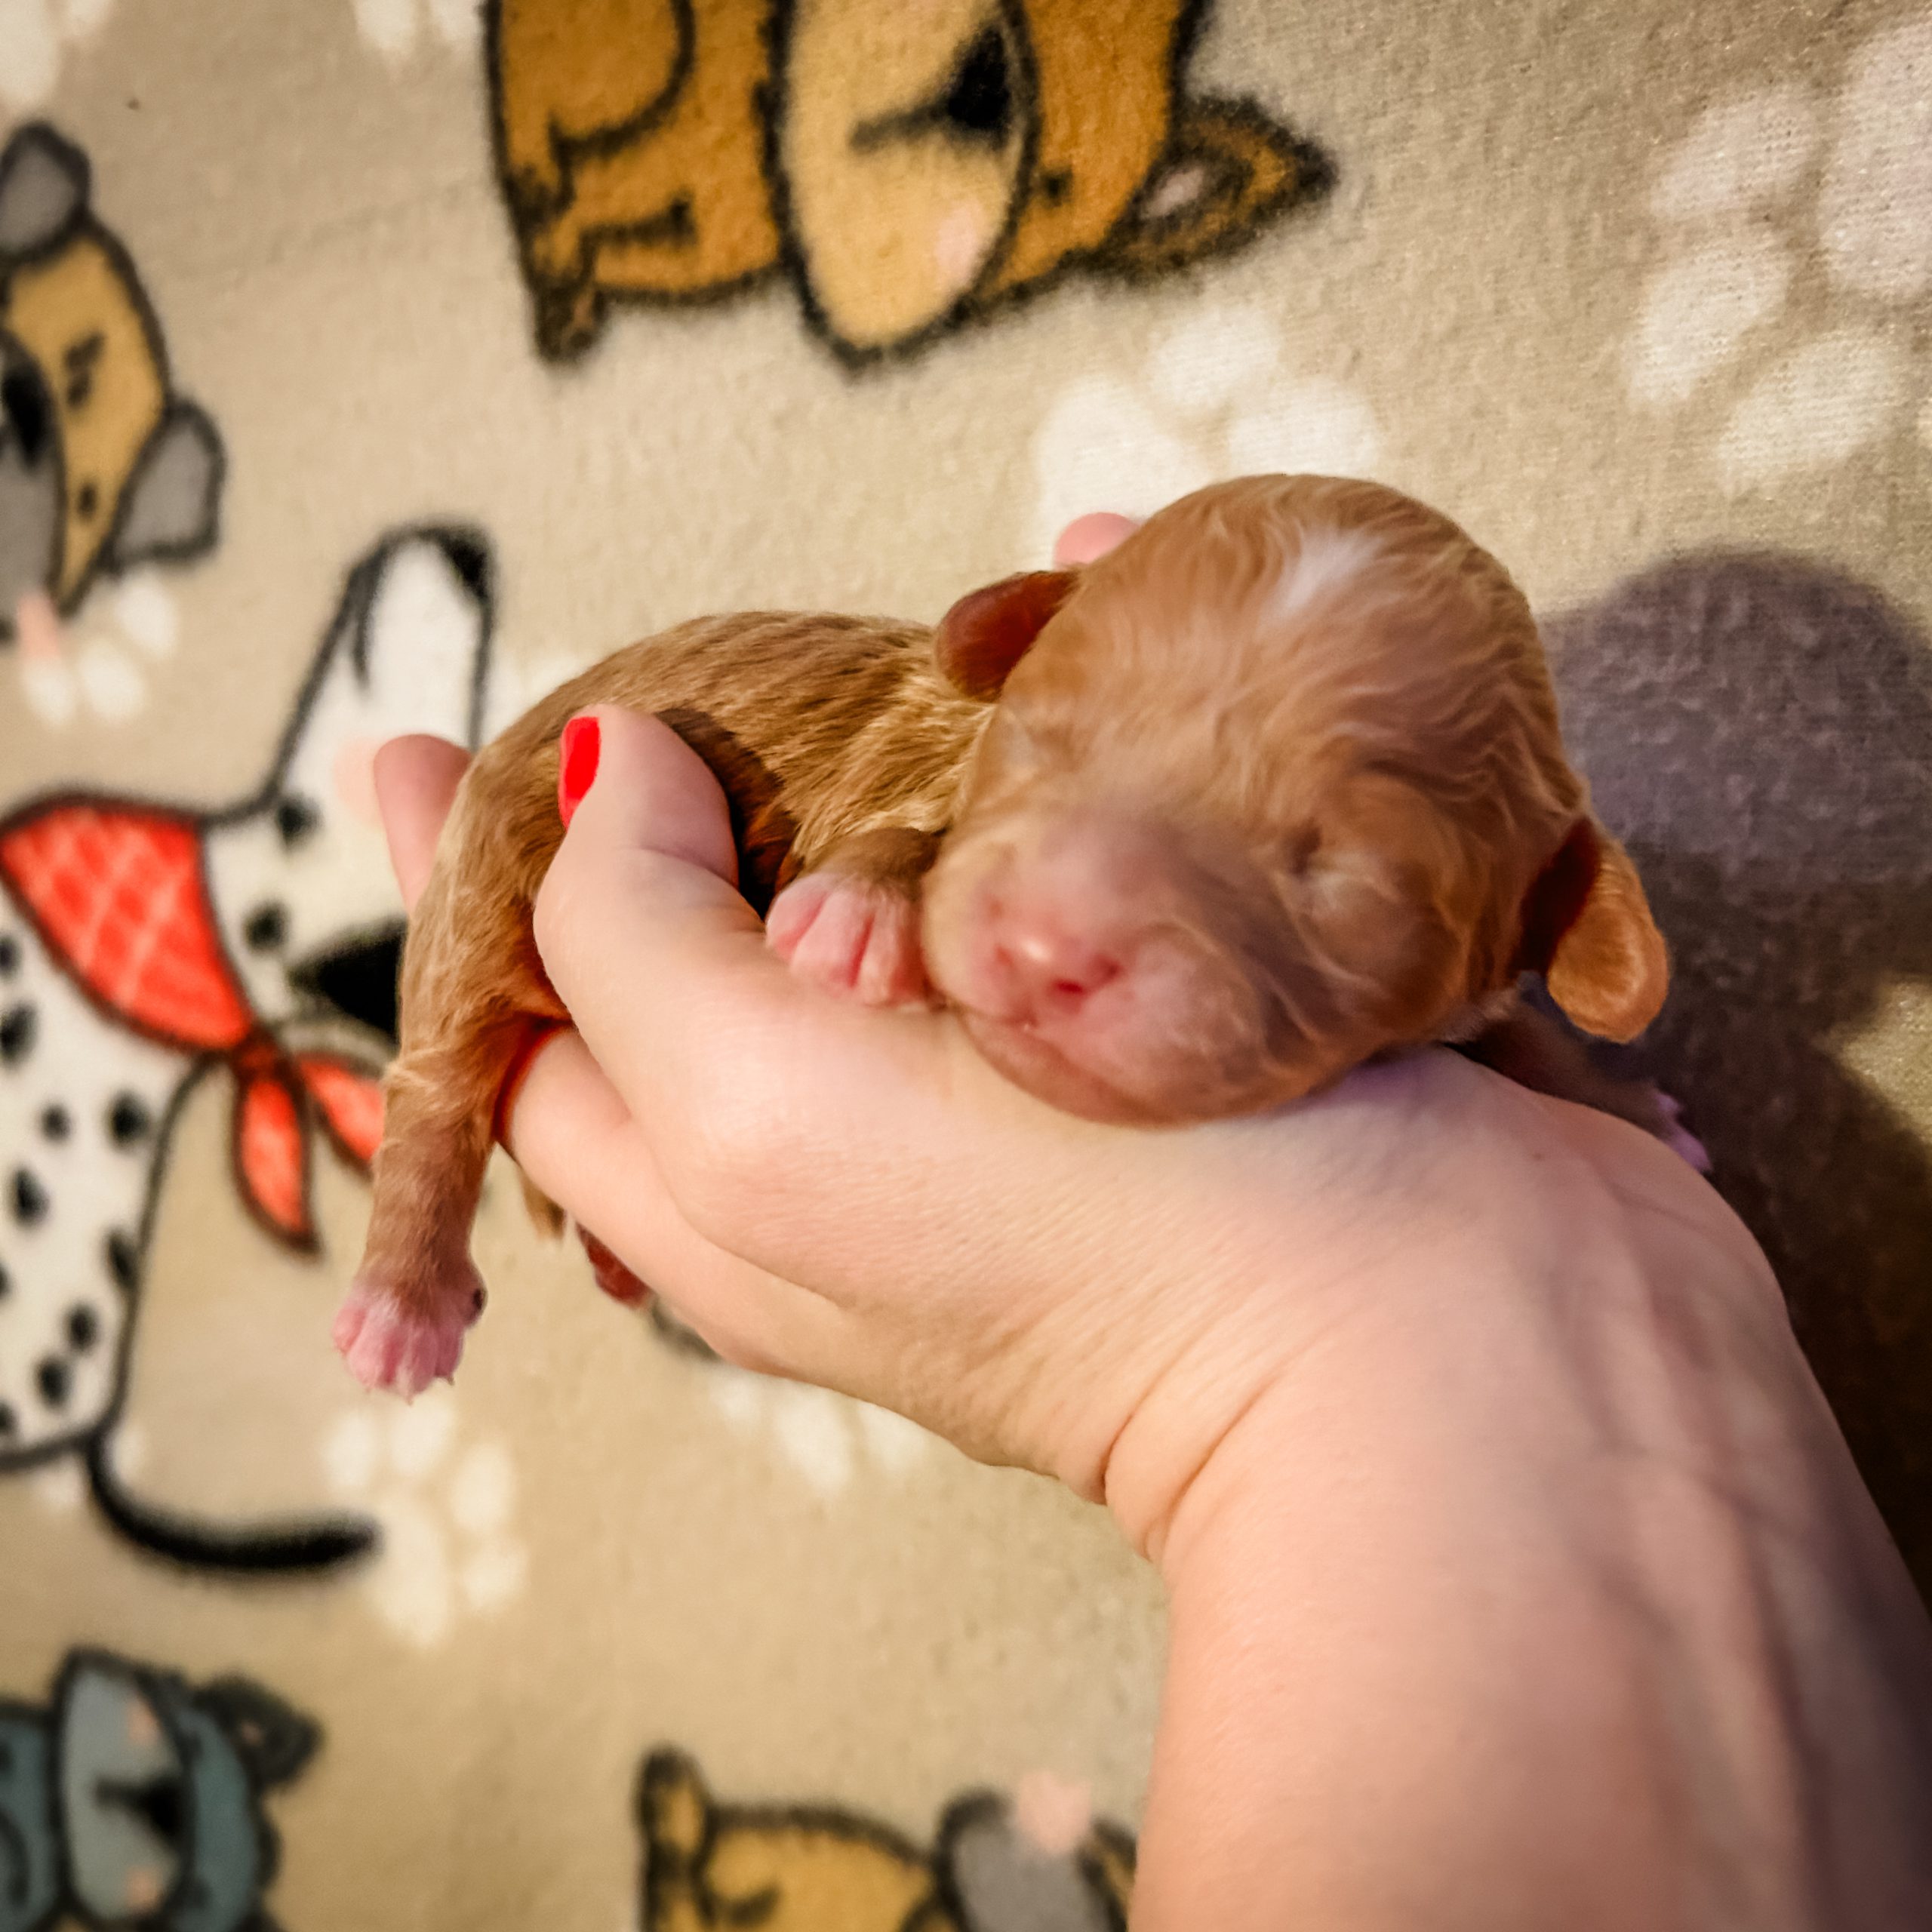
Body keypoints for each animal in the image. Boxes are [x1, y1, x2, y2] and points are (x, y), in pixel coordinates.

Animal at [343, 473, 1677, 1398]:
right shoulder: (916, 767)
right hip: (493, 883)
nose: (1048, 952)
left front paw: (1617, 1100)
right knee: (437, 1091)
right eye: (1037, 735)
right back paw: (404, 1300)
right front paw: (858, 914)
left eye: (1343, 878)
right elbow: (902, 831)